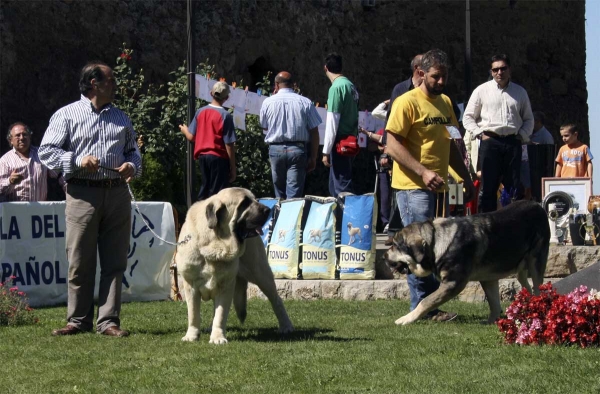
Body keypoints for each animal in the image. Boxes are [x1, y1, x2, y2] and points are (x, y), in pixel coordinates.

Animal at [175, 186, 294, 344]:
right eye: (244, 203)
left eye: (255, 199)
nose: (267, 210)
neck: (216, 242)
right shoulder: (190, 285)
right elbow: (193, 314)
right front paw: (192, 336)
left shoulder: (226, 285)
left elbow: (220, 314)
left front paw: (218, 337)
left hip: (261, 274)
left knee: (276, 300)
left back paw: (286, 326)